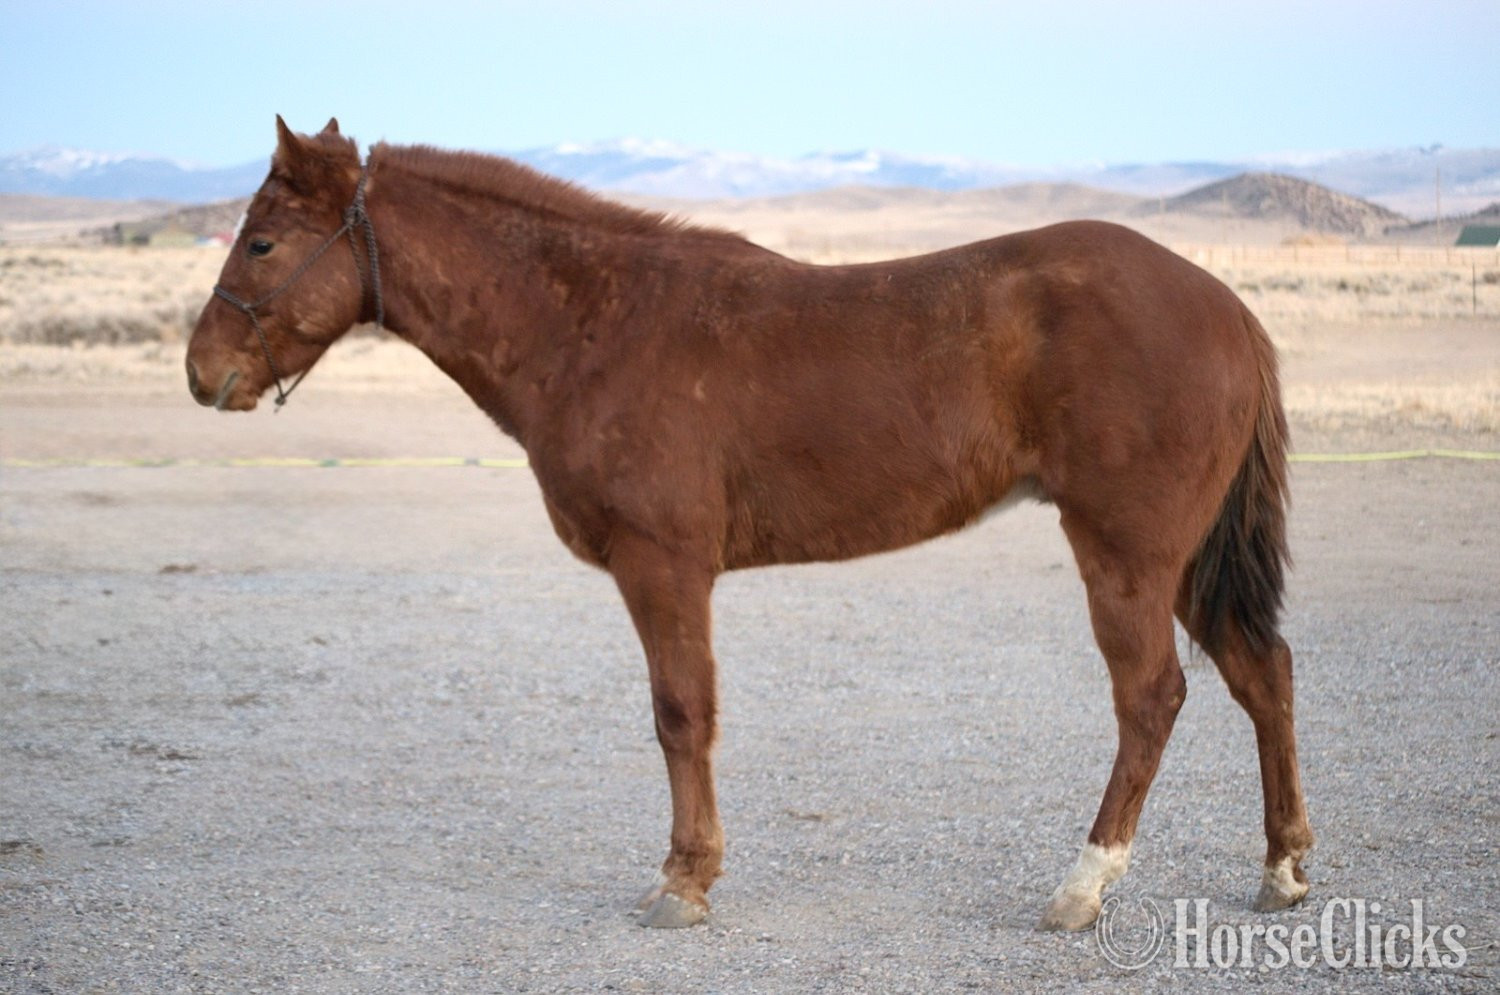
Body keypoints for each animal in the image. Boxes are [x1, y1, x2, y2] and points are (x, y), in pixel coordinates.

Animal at [185, 117, 1313, 930]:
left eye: (264, 239)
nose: (202, 372)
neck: (594, 322)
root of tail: (1227, 307)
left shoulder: (663, 565)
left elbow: (682, 713)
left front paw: (683, 881)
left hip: (1126, 551)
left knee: (1152, 697)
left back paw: (1082, 886)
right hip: (1182, 560)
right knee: (1262, 673)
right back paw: (1285, 866)